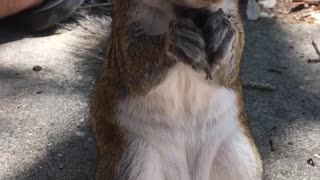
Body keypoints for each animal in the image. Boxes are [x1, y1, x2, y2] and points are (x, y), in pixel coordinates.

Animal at [89, 0, 262, 179]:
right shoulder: (126, 19)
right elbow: (133, 65)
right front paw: (175, 40)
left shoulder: (230, 10)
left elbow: (232, 60)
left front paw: (222, 34)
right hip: (131, 158)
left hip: (239, 158)